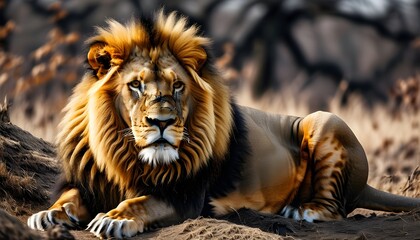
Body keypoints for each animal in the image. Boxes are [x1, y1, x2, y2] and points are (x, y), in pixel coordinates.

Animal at [27, 9, 420, 238]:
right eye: (135, 85)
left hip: (325, 119)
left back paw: (303, 209)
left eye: (178, 86)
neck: (124, 155)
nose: (161, 122)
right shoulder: (85, 179)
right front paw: (47, 215)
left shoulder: (185, 195)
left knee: (336, 208)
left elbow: (143, 202)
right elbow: (68, 197)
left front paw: (115, 219)